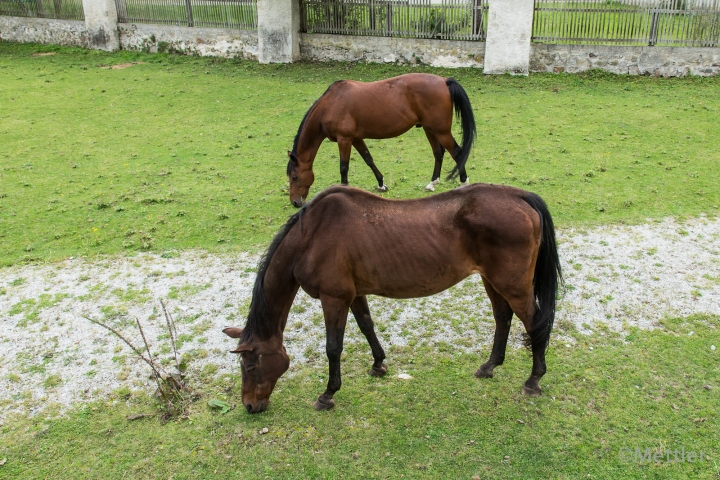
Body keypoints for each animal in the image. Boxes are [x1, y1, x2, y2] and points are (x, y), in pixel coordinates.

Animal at [222, 184, 560, 412]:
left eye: (249, 366)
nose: (250, 406)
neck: (312, 236)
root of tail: (519, 196)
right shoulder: (354, 294)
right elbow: (367, 326)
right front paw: (378, 364)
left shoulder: (333, 298)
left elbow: (333, 348)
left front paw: (328, 394)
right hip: (493, 281)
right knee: (503, 318)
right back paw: (489, 366)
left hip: (513, 285)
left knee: (534, 324)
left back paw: (533, 381)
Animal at [286, 73, 478, 206]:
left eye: (294, 177)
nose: (295, 202)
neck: (331, 104)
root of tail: (444, 80)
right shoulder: (356, 138)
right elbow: (368, 159)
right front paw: (381, 184)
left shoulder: (345, 139)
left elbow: (344, 167)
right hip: (430, 129)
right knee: (438, 153)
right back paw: (432, 183)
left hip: (440, 131)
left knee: (457, 152)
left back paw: (463, 182)